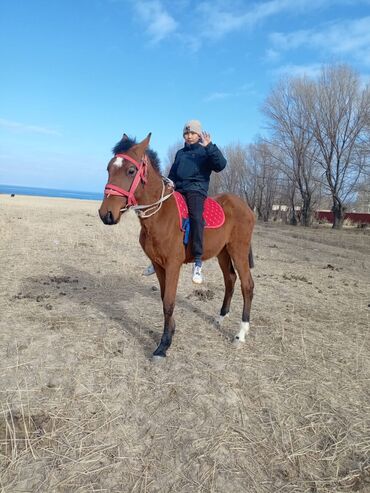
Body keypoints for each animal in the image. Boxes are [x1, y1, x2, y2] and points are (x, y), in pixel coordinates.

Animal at [98, 133, 254, 360]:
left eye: (131, 170)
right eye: (109, 168)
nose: (106, 214)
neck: (161, 214)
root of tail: (246, 206)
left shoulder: (173, 265)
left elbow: (169, 303)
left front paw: (163, 345)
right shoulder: (159, 265)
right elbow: (164, 298)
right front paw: (170, 333)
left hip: (238, 250)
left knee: (247, 285)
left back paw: (240, 334)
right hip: (223, 252)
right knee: (230, 280)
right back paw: (220, 318)